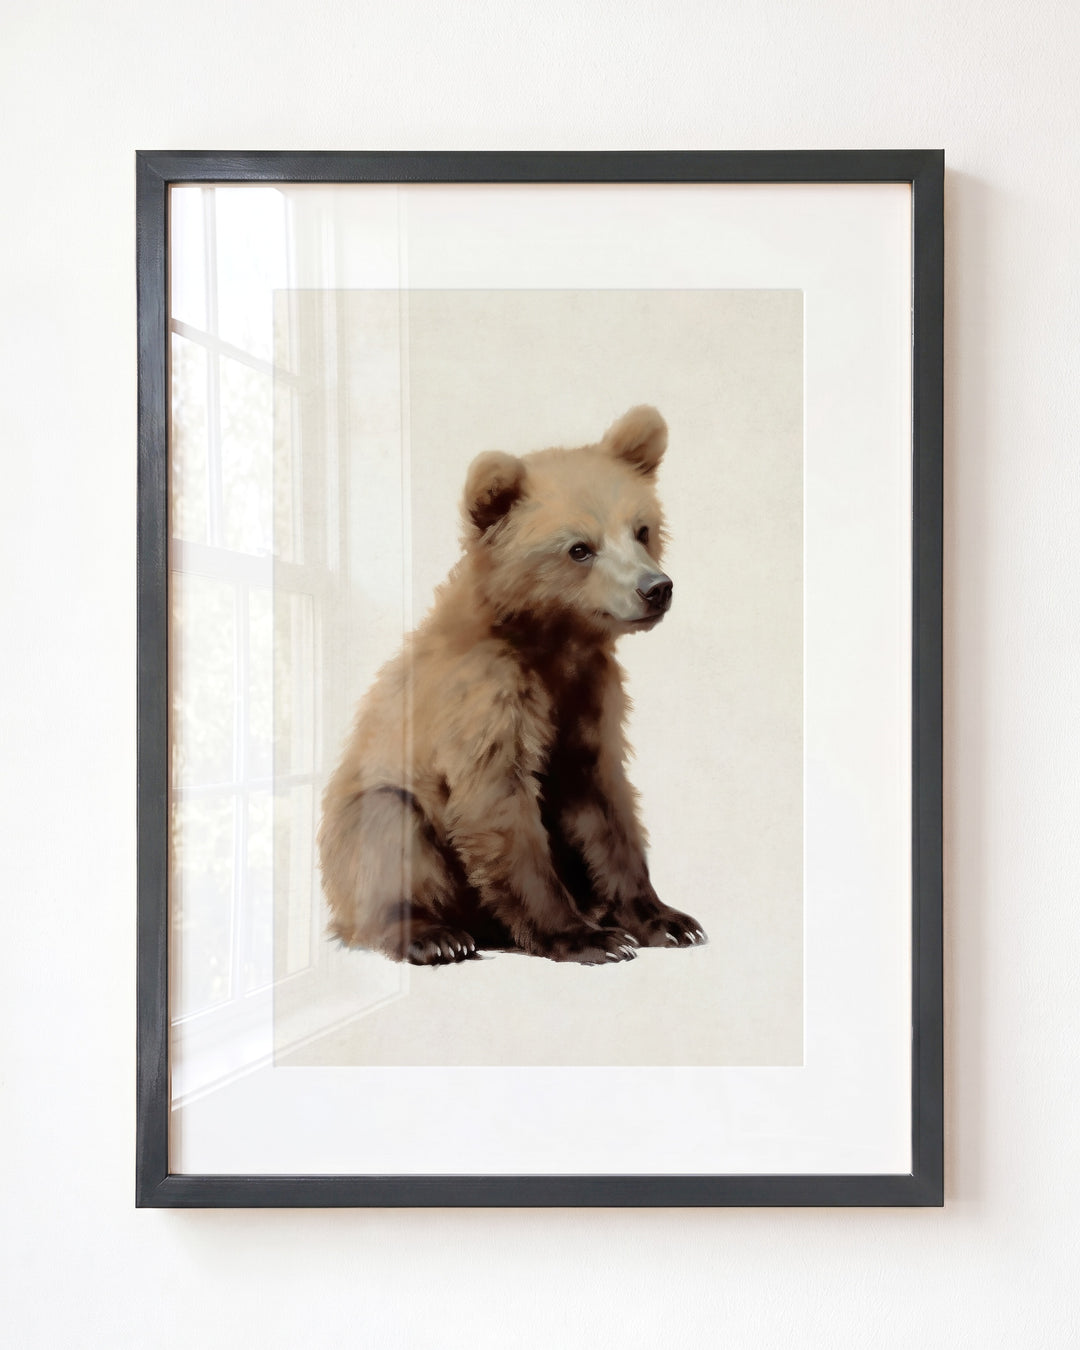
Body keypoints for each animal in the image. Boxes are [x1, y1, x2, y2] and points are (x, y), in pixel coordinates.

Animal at [318, 405, 707, 966]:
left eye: (641, 530)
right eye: (579, 548)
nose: (655, 588)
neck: (553, 643)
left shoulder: (588, 699)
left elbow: (605, 805)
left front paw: (665, 920)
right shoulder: (483, 697)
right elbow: (498, 804)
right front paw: (587, 937)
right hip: (370, 822)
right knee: (388, 830)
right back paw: (435, 934)